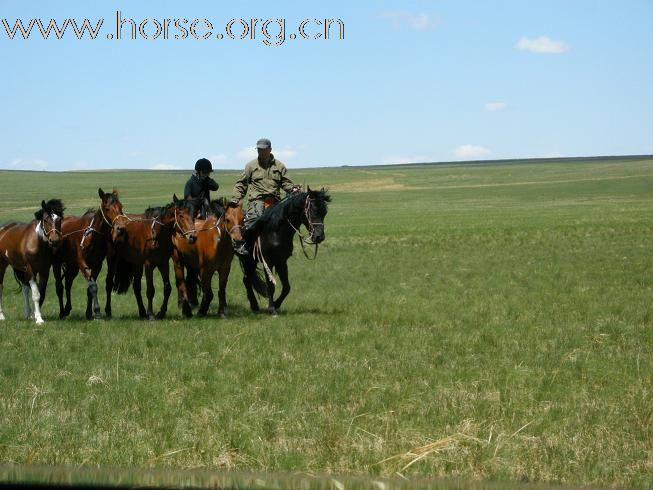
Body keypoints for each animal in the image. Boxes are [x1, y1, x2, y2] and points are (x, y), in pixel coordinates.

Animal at [52, 189, 123, 322]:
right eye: (107, 208)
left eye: (121, 207)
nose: (120, 228)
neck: (91, 236)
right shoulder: (83, 263)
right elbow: (93, 287)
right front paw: (97, 312)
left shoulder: (96, 265)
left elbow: (90, 288)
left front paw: (89, 313)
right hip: (57, 264)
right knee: (59, 287)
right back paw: (62, 312)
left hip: (72, 265)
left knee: (68, 284)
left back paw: (67, 308)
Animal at [239, 186, 332, 316]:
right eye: (311, 210)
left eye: (324, 212)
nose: (319, 237)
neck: (276, 231)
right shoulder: (268, 261)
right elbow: (270, 286)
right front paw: (271, 308)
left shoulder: (282, 261)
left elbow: (287, 287)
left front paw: (277, 304)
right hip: (247, 259)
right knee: (247, 280)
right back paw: (254, 305)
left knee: (248, 279)